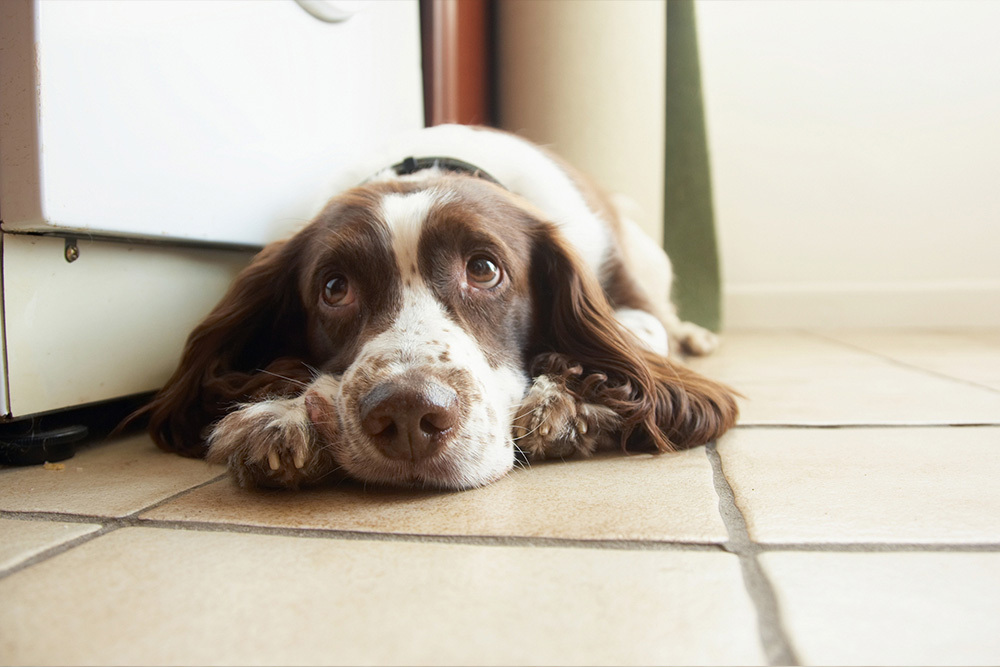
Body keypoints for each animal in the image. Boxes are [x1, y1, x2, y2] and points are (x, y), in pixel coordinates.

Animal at [145, 124, 740, 490]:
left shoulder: (627, 300)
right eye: (334, 287)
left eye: (484, 269)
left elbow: (636, 349)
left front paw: (566, 399)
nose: (408, 415)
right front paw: (283, 415)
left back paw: (697, 335)